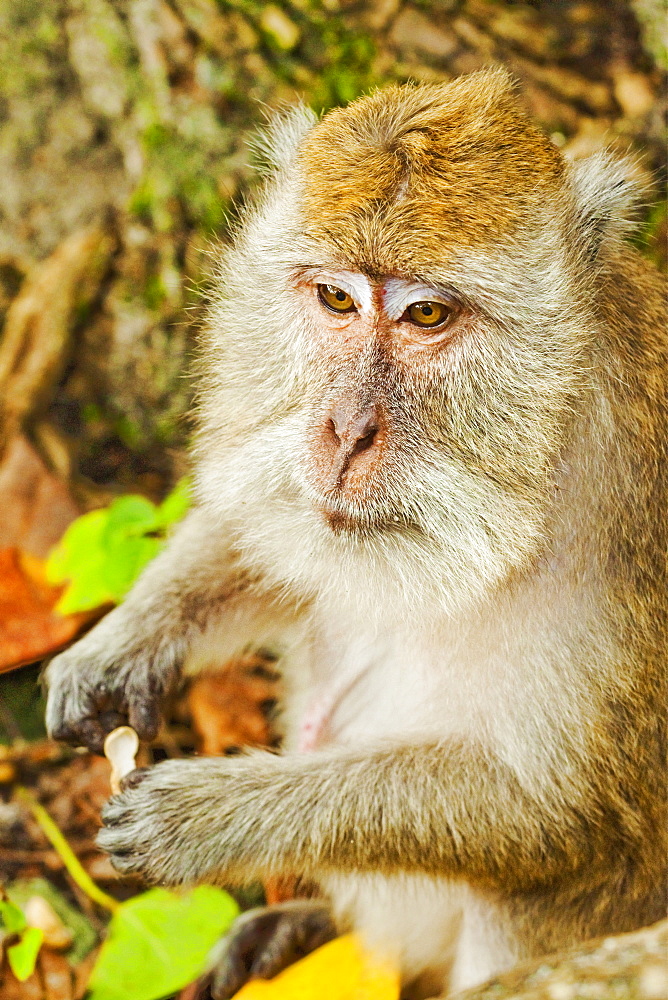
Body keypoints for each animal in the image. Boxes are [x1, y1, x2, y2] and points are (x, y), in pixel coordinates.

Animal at [44, 68, 664, 992]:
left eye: (427, 316)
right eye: (337, 297)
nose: (343, 431)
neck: (547, 446)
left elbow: (558, 814)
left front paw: (218, 815)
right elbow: (271, 533)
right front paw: (120, 648)